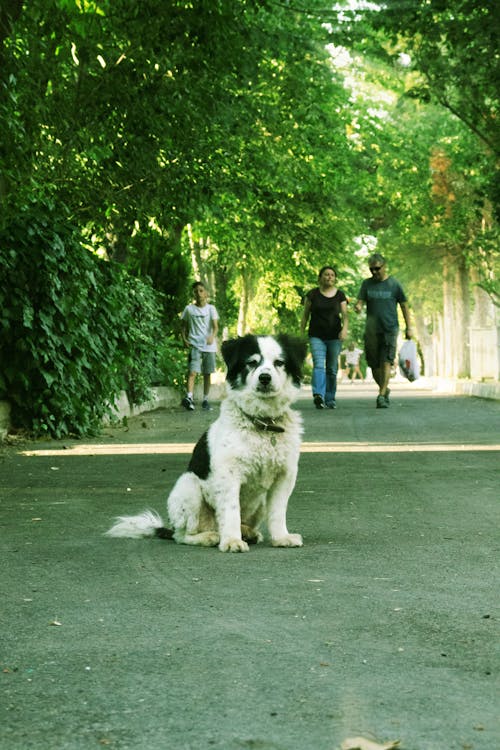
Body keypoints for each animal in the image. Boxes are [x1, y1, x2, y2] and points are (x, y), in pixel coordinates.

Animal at [107, 334, 306, 552]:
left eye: (279, 363)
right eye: (251, 363)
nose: (265, 378)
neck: (263, 423)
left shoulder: (285, 475)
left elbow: (278, 512)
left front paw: (281, 538)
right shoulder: (229, 476)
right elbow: (231, 511)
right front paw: (232, 541)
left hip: (260, 501)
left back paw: (247, 532)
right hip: (189, 487)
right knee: (182, 535)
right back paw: (210, 537)